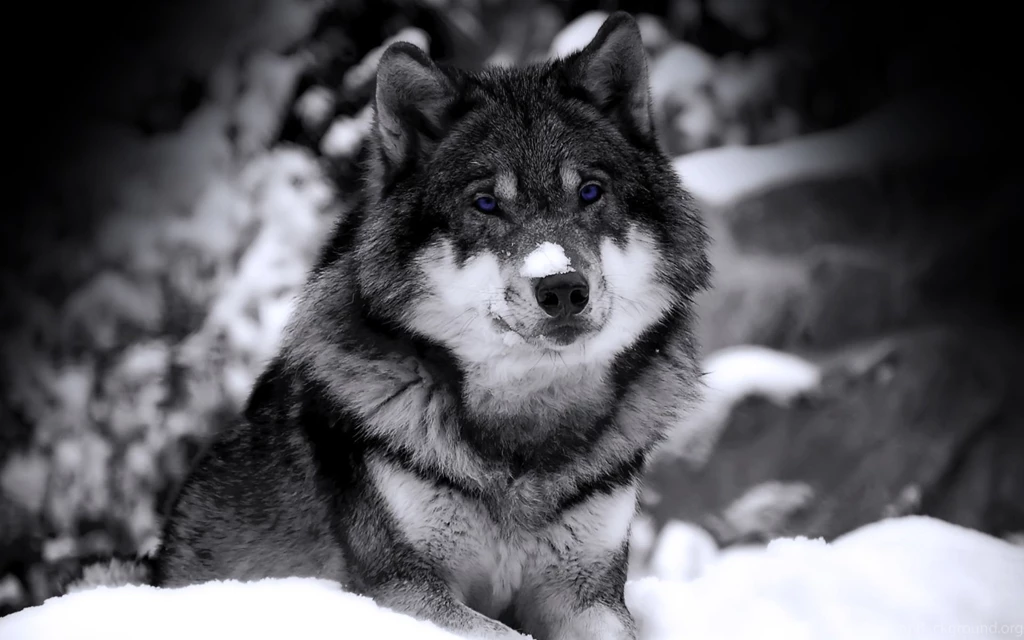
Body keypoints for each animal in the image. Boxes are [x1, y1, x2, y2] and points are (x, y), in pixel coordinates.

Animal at [69, 11, 711, 640]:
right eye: (485, 204)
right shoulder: (403, 587)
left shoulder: (588, 596)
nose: (562, 288)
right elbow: (501, 633)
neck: (522, 436)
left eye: (591, 193)